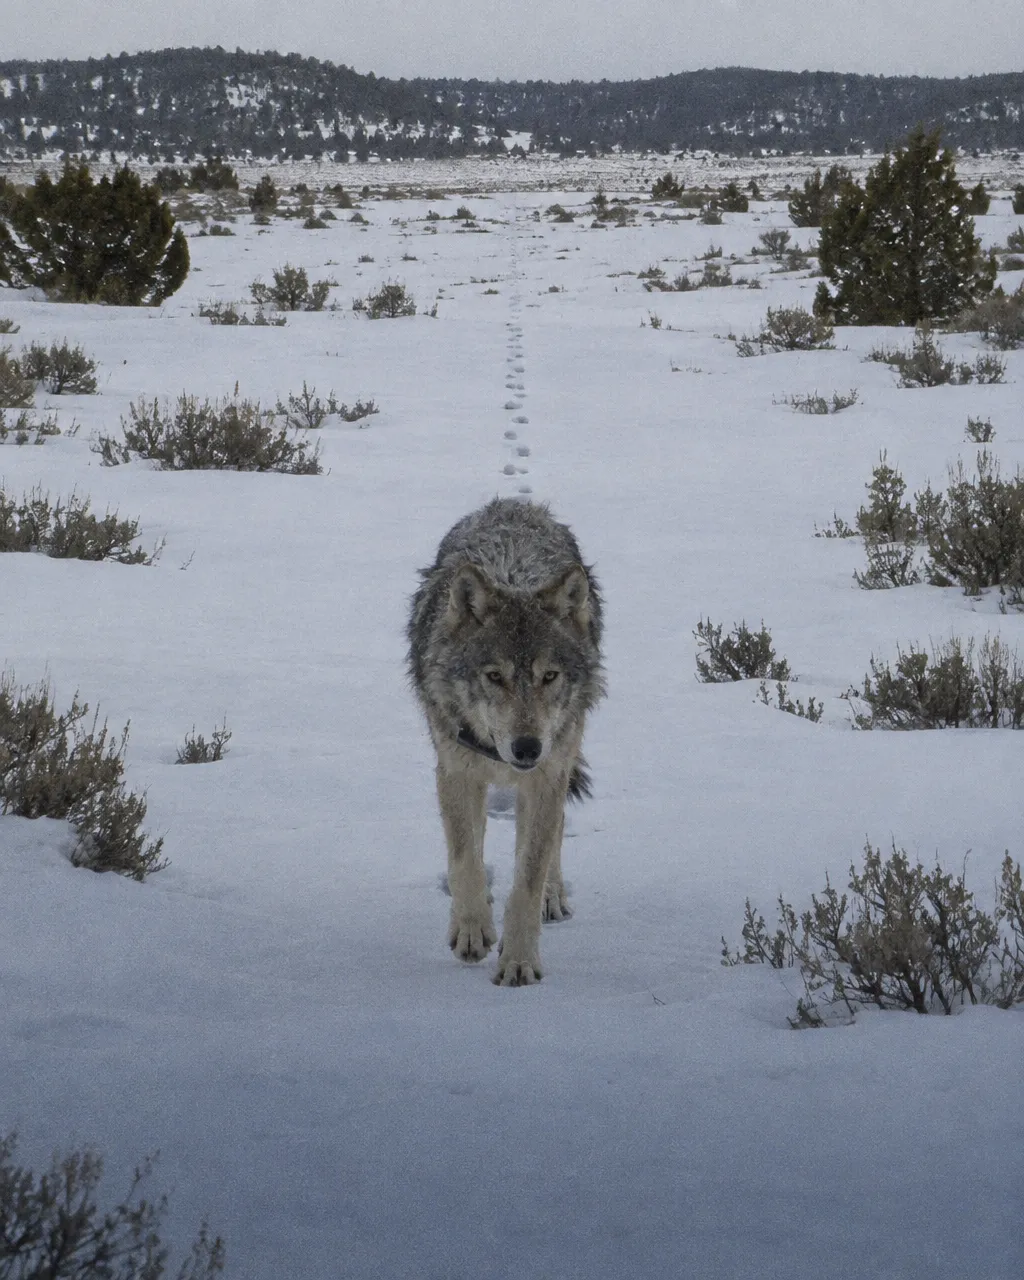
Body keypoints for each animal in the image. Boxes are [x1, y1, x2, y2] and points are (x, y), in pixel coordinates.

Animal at [408, 498, 605, 986]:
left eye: (549, 676)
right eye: (494, 676)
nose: (527, 748)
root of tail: (519, 503)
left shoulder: (546, 776)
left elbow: (528, 878)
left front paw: (518, 960)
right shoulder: (456, 771)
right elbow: (465, 858)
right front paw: (472, 930)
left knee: (552, 839)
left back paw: (554, 897)